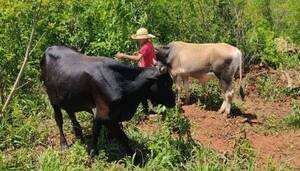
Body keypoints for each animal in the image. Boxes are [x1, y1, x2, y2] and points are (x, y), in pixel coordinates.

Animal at [40, 45, 176, 156]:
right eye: (166, 83)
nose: (173, 101)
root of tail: (49, 48)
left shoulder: (101, 113)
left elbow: (96, 131)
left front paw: (94, 150)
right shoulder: (106, 115)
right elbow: (121, 136)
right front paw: (134, 156)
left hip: (68, 96)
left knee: (70, 112)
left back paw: (78, 133)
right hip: (52, 99)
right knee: (59, 120)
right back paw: (63, 144)